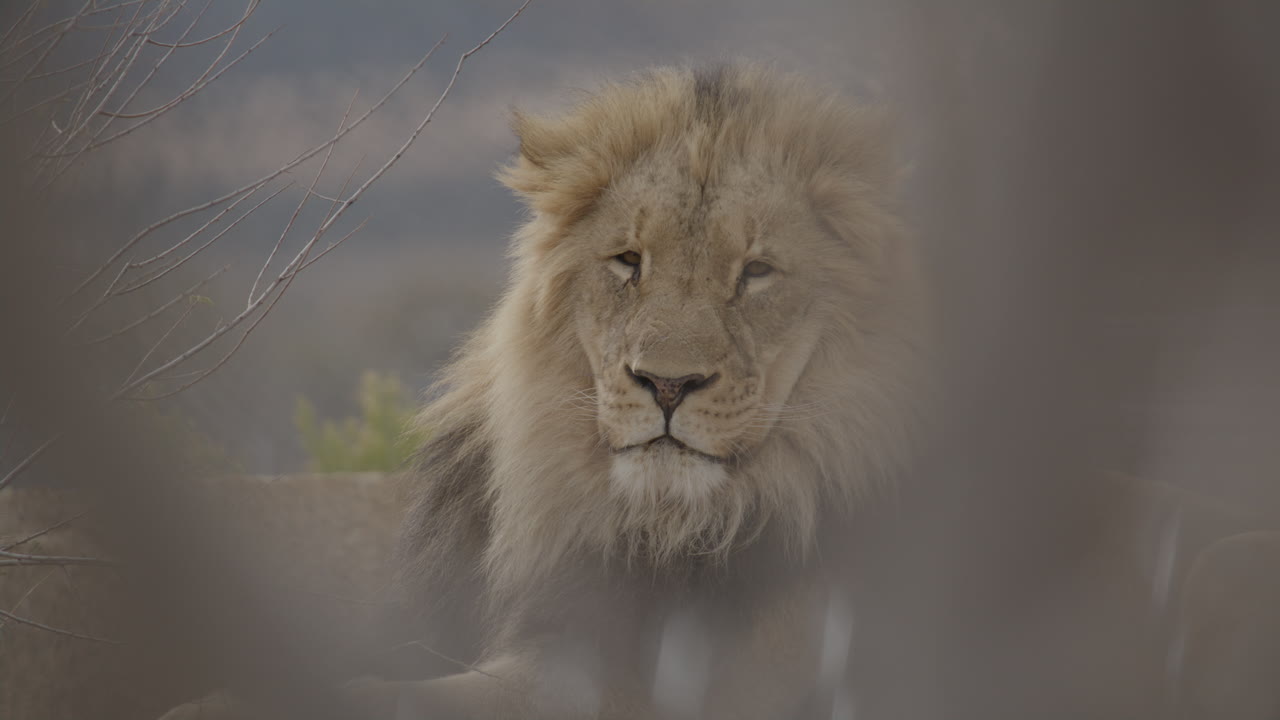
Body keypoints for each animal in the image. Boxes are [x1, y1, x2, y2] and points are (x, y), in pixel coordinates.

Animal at [160, 63, 925, 719]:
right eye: (628, 261)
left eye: (757, 271)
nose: (667, 383)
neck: (648, 521)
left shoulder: (693, 688)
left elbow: (387, 696)